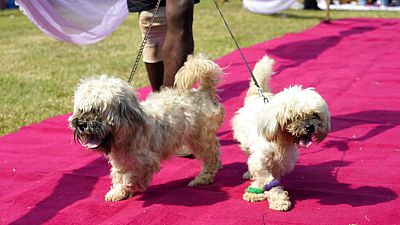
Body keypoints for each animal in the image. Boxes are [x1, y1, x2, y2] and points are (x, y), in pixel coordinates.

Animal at [69, 55, 225, 202]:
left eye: (97, 110)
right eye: (81, 109)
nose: (81, 124)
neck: (126, 134)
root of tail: (203, 92)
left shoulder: (146, 161)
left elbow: (131, 176)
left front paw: (133, 185)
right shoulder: (120, 161)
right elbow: (118, 175)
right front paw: (118, 192)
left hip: (200, 139)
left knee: (210, 157)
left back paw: (203, 178)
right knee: (215, 148)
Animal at [231, 55, 332, 211]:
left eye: (315, 115)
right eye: (294, 117)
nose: (309, 127)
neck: (281, 141)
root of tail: (257, 95)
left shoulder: (280, 163)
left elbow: (272, 179)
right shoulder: (261, 160)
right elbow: (267, 179)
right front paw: (274, 198)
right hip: (245, 142)